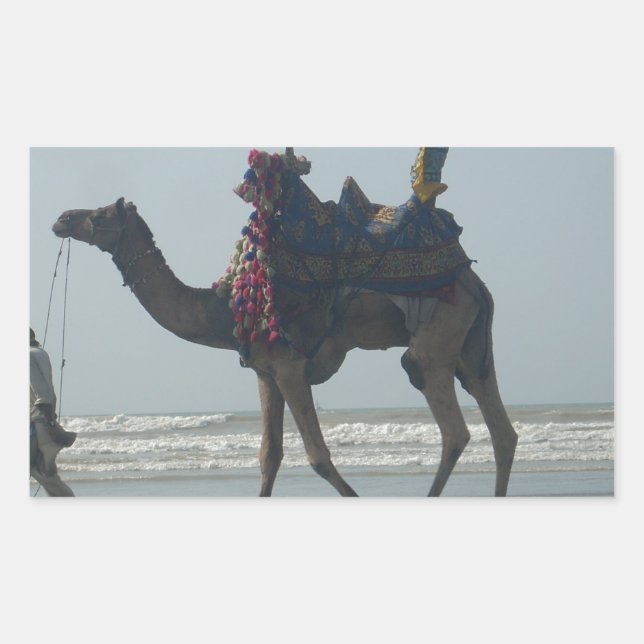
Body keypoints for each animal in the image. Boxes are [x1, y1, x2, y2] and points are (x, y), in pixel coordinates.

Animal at [51, 154, 518, 497]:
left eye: (101, 211)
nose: (61, 218)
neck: (227, 307)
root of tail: (473, 280)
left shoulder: (290, 366)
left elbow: (317, 456)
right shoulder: (265, 372)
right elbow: (268, 457)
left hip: (438, 332)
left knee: (449, 421)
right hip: (471, 343)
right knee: (501, 430)